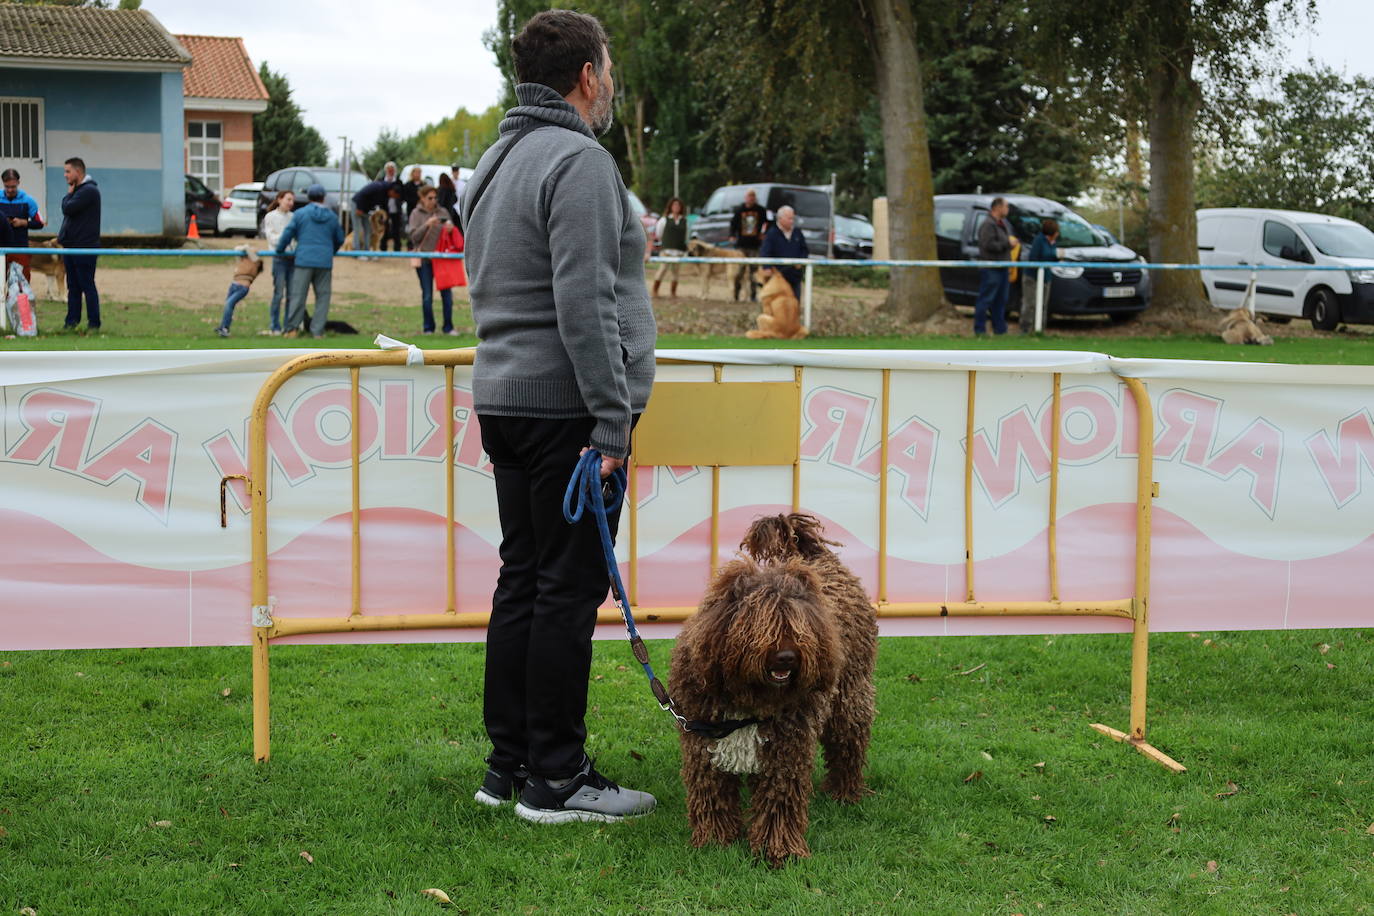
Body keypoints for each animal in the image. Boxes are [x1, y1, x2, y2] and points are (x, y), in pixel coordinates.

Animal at [667, 516, 879, 867]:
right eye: (760, 624)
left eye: (800, 626)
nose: (787, 657)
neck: (748, 699)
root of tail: (819, 557)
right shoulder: (703, 747)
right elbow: (712, 796)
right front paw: (714, 841)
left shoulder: (784, 752)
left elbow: (777, 804)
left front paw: (777, 851)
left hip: (850, 699)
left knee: (848, 747)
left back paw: (844, 792)